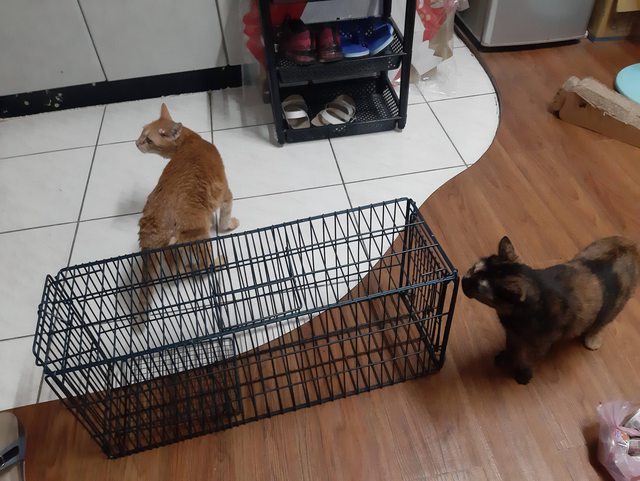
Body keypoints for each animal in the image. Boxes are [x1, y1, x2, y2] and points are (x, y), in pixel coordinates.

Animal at [134, 103, 239, 318]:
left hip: (172, 250)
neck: (191, 141)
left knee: (178, 270)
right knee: (205, 265)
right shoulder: (225, 192)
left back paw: (190, 267)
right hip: (200, 239)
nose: (136, 142)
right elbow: (225, 218)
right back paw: (218, 261)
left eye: (147, 138)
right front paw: (230, 224)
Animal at [461, 236, 640, 385]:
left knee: (601, 323)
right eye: (473, 268)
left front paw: (523, 374)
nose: (463, 280)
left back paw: (592, 340)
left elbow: (525, 359)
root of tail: (631, 245)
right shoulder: (512, 334)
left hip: (614, 306)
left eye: (477, 287)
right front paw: (505, 357)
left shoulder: (539, 344)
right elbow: (511, 347)